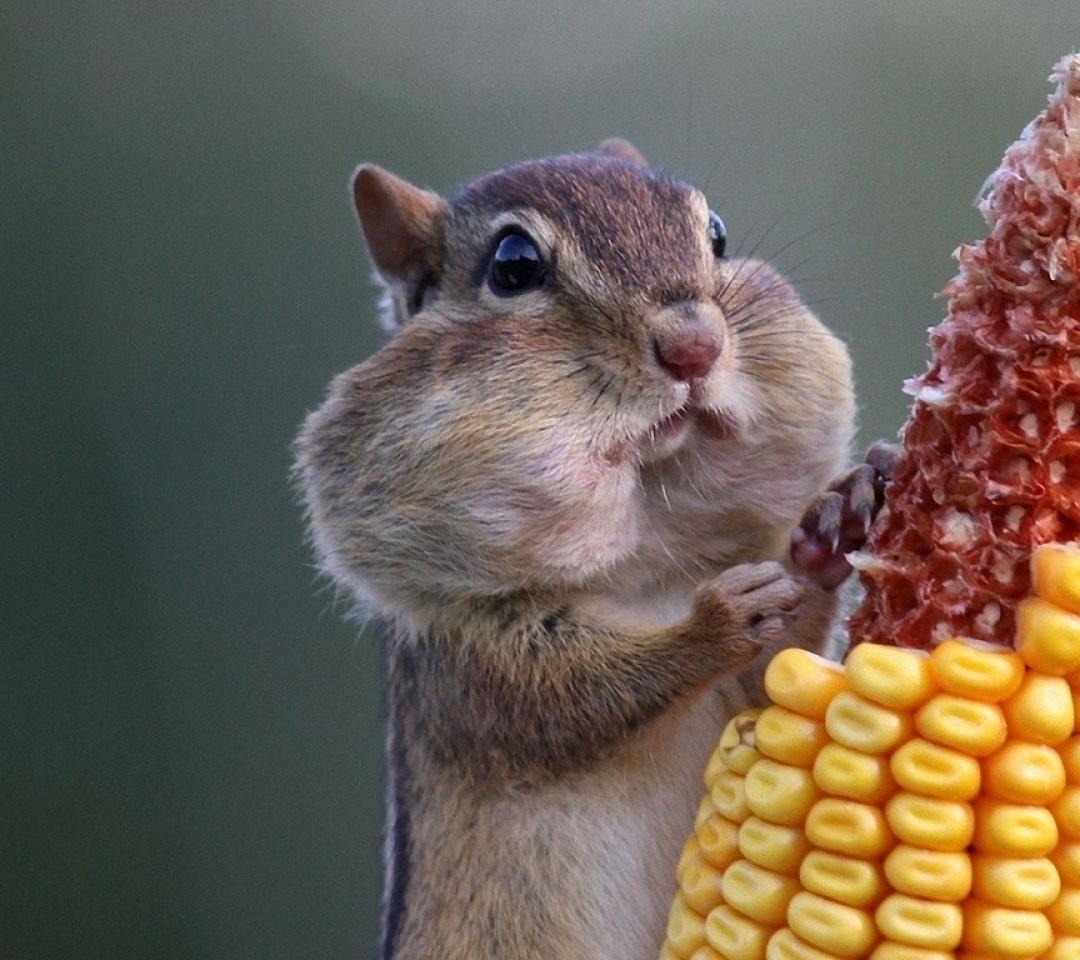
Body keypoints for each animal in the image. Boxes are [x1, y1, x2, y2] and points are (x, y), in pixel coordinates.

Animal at [294, 138, 894, 960]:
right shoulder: (468, 665)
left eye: (717, 234)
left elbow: (780, 680)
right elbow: (574, 698)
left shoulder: (754, 696)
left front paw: (833, 519)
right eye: (514, 265)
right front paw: (716, 623)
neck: (648, 568)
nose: (696, 345)